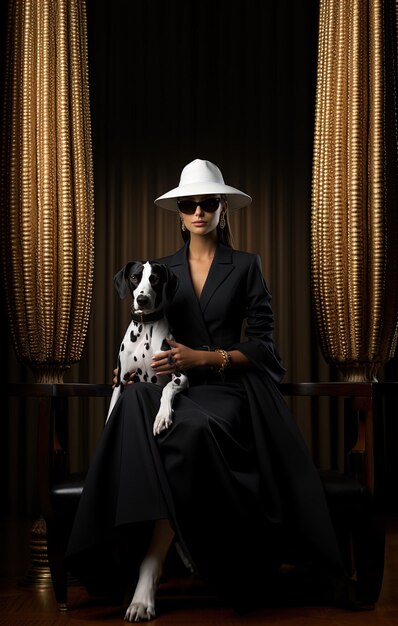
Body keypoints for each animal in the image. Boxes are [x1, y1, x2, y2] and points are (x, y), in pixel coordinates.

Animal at [105, 260, 187, 434]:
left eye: (155, 278)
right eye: (134, 277)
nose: (142, 299)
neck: (145, 327)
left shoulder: (181, 376)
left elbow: (167, 387)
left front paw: (163, 416)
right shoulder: (121, 381)